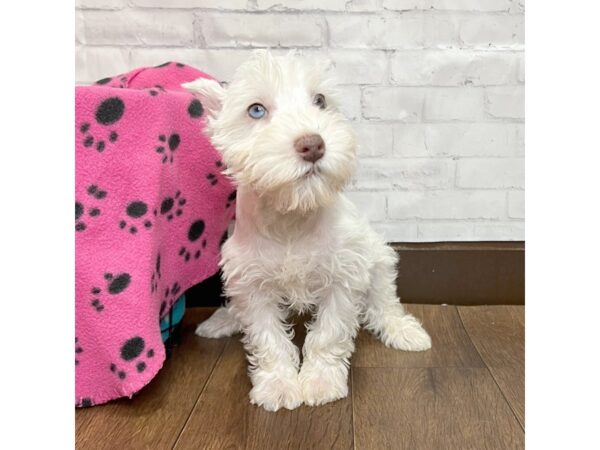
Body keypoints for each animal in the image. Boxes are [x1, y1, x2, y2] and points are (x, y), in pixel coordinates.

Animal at [183, 51, 432, 414]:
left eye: (320, 101)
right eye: (256, 110)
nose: (313, 144)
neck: (292, 216)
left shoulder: (344, 275)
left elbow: (328, 334)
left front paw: (320, 382)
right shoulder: (252, 285)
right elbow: (267, 338)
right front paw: (278, 385)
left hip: (377, 258)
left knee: (384, 299)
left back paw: (403, 331)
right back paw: (223, 321)